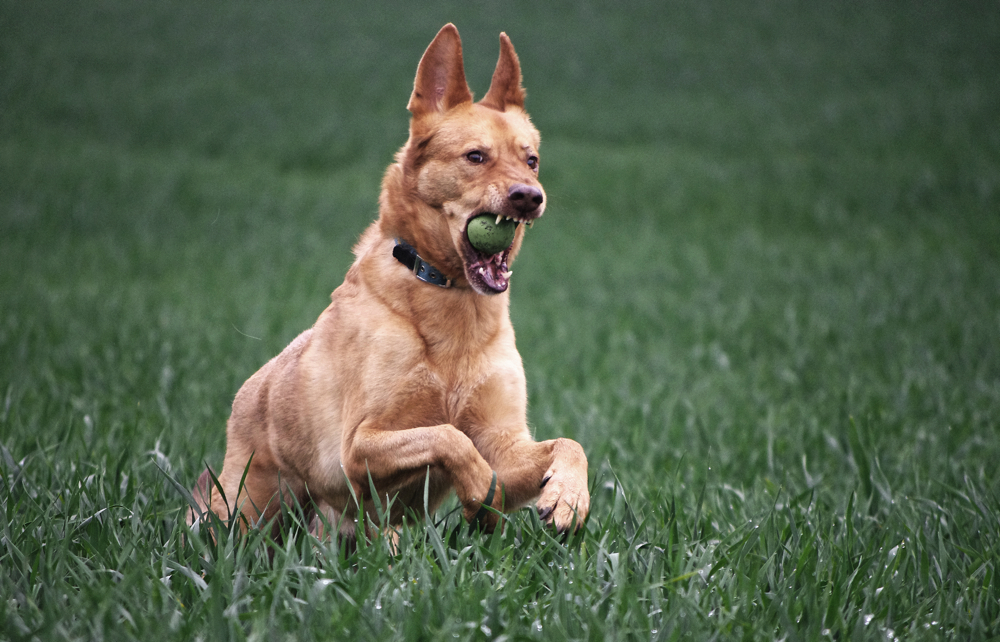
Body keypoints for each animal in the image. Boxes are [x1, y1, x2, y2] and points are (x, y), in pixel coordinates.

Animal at [191, 23, 588, 536]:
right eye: (475, 156)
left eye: (532, 160)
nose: (529, 197)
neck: (450, 304)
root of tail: (247, 393)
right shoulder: (357, 447)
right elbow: (449, 436)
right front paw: (480, 488)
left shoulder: (504, 442)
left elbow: (568, 444)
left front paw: (567, 497)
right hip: (244, 510)